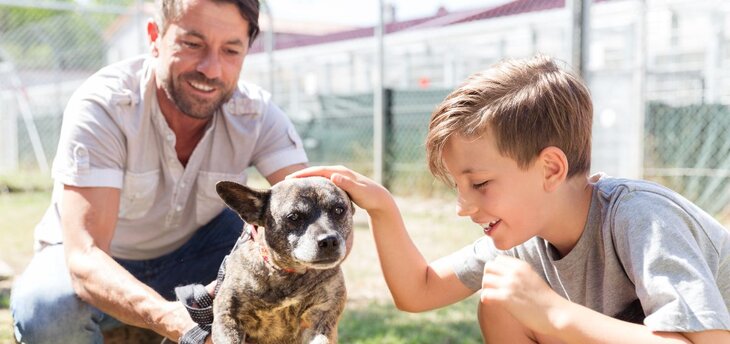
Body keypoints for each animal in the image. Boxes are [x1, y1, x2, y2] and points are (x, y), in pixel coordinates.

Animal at [210, 177, 352, 344]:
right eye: (294, 217)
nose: (329, 241)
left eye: (339, 210)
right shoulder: (227, 317)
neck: (288, 273)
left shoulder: (321, 319)